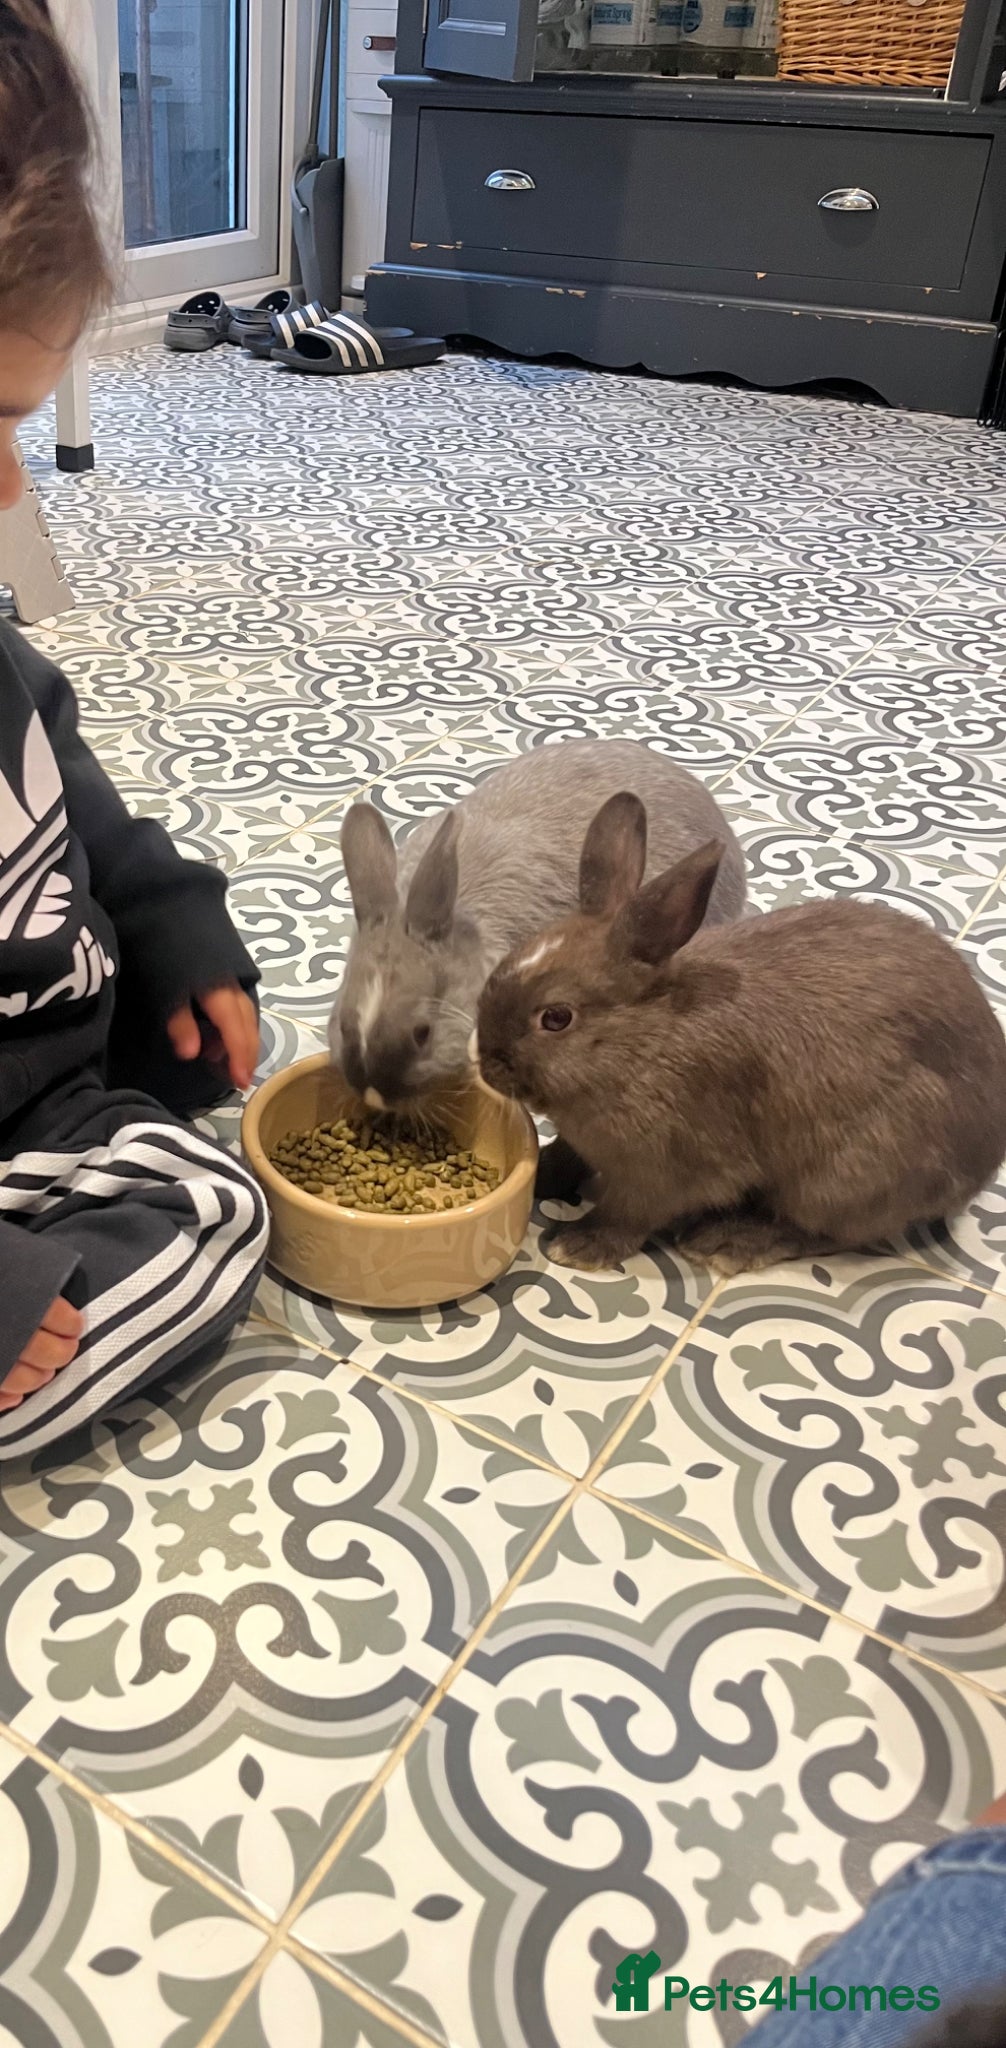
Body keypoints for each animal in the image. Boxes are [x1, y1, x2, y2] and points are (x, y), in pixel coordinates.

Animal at [475, 790, 1006, 1274]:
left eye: (556, 1018)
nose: (487, 1065)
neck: (642, 1044)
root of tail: (983, 1162)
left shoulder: (668, 1169)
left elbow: (631, 1213)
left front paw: (578, 1246)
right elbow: (570, 1156)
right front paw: (543, 1175)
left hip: (851, 1174)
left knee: (826, 1232)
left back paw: (728, 1242)